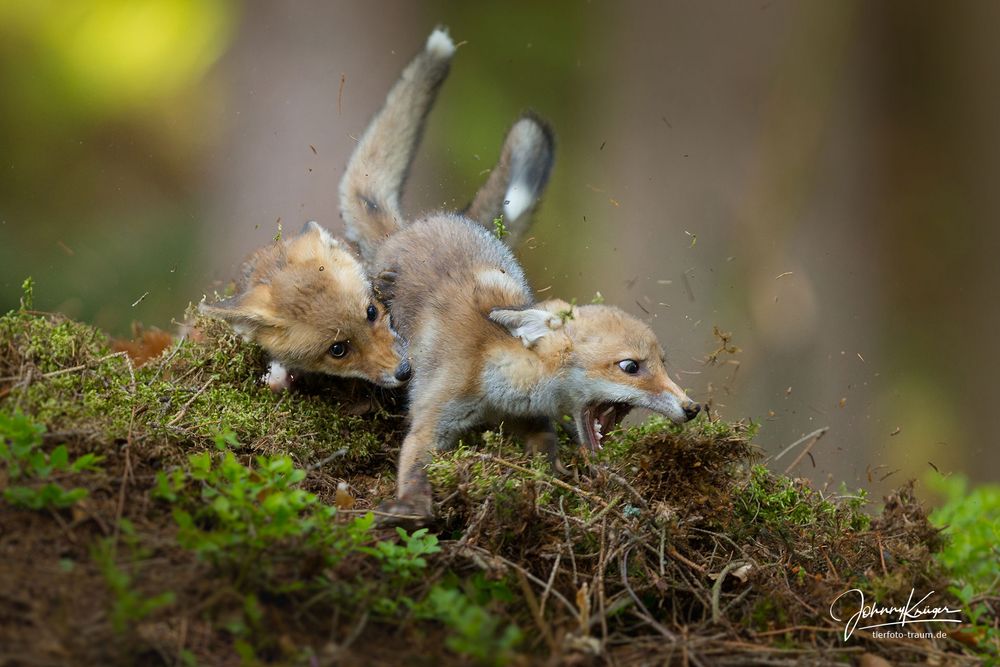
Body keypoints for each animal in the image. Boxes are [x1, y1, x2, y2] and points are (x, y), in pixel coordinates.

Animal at [340, 30, 700, 520]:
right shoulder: (432, 417)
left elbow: (546, 451)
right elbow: (415, 464)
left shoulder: (532, 419)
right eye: (631, 367)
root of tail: (411, 226)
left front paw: (557, 480)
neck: (497, 377)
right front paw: (412, 507)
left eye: (665, 362)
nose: (692, 407)